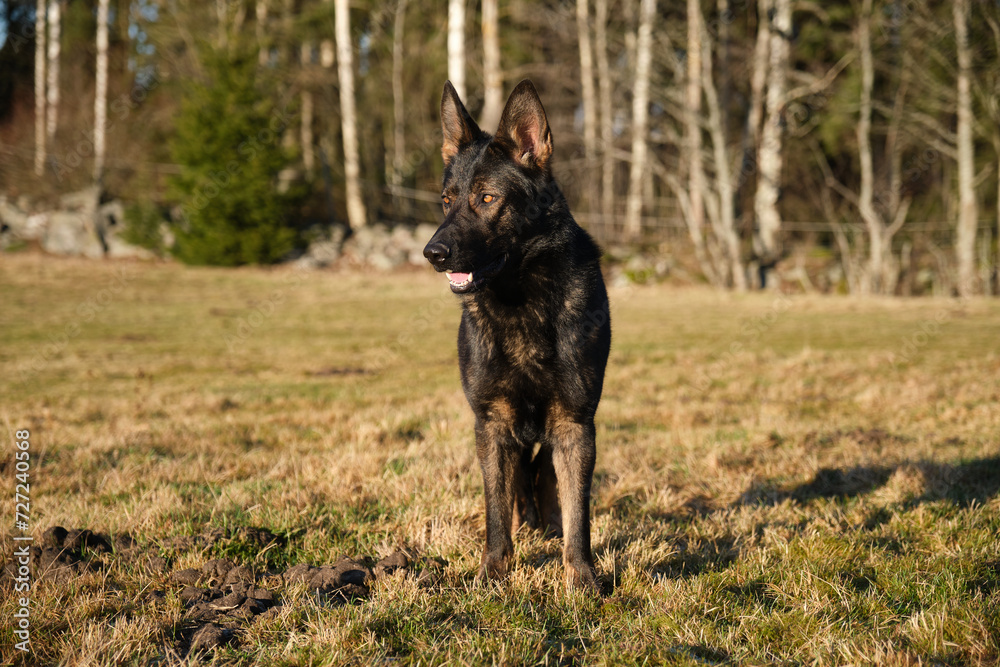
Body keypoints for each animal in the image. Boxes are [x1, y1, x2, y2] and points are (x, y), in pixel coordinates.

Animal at [422, 79, 608, 588]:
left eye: (487, 198)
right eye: (447, 200)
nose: (432, 253)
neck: (520, 300)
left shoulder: (574, 423)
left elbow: (578, 511)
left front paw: (581, 577)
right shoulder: (492, 424)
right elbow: (496, 508)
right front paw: (493, 573)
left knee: (544, 472)